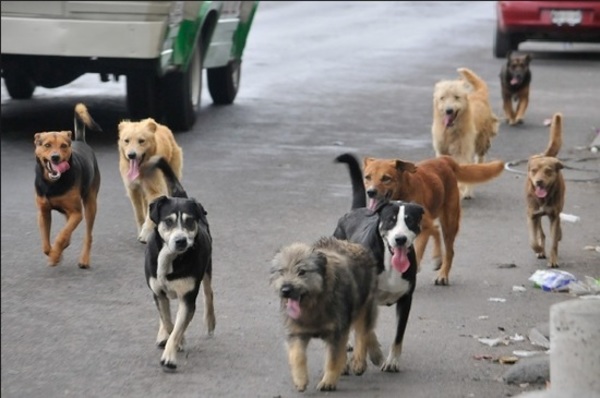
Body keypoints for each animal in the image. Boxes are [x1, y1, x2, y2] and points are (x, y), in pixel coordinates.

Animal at [33, 104, 101, 268]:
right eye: (47, 145)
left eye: (63, 146)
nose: (55, 157)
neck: (52, 183)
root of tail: (81, 141)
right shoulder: (43, 212)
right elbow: (46, 244)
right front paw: (54, 254)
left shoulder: (77, 213)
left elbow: (62, 235)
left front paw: (55, 255)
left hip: (90, 205)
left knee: (88, 235)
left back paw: (84, 259)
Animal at [143, 155, 216, 370]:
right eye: (168, 221)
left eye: (190, 221)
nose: (181, 240)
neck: (170, 258)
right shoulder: (158, 292)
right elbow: (169, 322)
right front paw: (175, 340)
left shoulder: (188, 297)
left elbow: (177, 326)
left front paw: (170, 355)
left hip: (207, 269)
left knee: (209, 293)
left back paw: (210, 321)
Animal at [270, 236, 382, 392]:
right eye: (281, 271)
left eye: (302, 271)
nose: (285, 290)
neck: (314, 305)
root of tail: (351, 243)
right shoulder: (297, 333)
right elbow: (297, 356)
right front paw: (300, 380)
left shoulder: (337, 332)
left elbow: (333, 359)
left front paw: (328, 381)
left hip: (363, 306)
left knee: (363, 333)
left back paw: (360, 361)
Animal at [332, 153, 426, 374]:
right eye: (391, 220)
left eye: (410, 221)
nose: (400, 239)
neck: (390, 264)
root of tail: (356, 210)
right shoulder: (366, 297)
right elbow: (367, 331)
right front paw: (372, 354)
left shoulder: (406, 299)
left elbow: (398, 335)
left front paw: (391, 361)